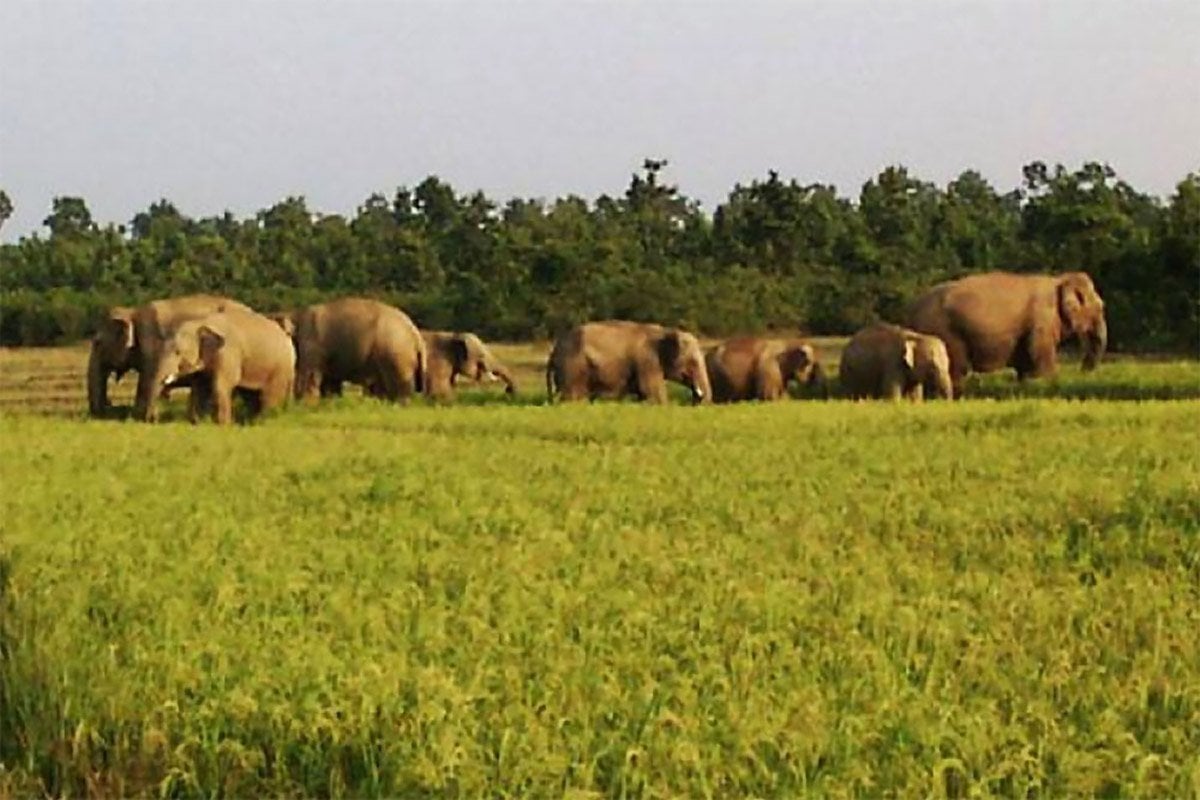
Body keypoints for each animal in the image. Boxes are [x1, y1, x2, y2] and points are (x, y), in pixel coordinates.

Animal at [87, 292, 253, 419]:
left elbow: (146, 379)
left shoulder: (151, 345)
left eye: (97, 343)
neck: (132, 312)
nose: (110, 405)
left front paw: (139, 417)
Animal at [286, 298, 427, 402]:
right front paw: (330, 402)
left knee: (399, 386)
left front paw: (305, 404)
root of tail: (416, 333)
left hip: (396, 354)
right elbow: (330, 381)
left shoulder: (312, 344)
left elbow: (310, 374)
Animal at [547, 321, 705, 402]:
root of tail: (554, 351)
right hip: (573, 369)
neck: (665, 331)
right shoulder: (647, 361)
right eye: (693, 362)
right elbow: (654, 394)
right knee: (574, 398)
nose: (698, 398)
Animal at [907, 271, 1104, 393]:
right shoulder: (1042, 320)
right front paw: (1049, 381)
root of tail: (911, 310)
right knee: (956, 368)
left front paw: (1026, 384)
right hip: (946, 331)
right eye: (1101, 308)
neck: (1059, 280)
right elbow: (1039, 353)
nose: (1083, 371)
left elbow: (1026, 360)